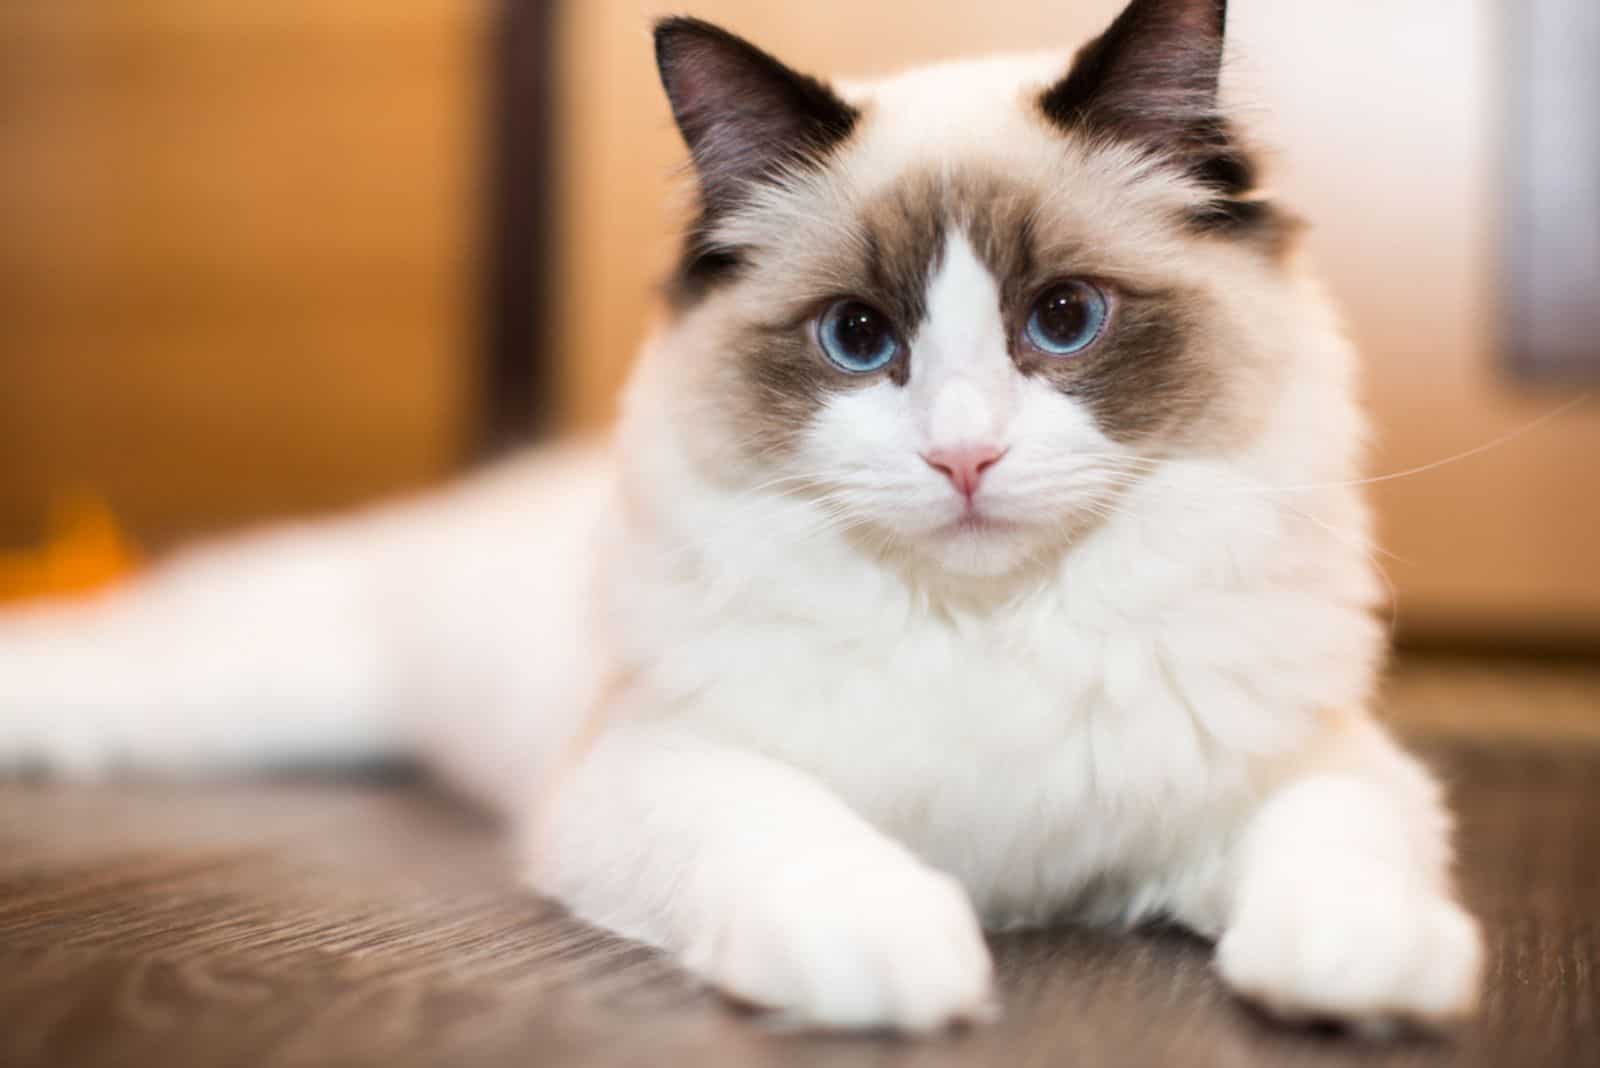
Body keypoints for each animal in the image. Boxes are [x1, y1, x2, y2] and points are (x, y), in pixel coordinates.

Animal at [0, 0, 1484, 1036]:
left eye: (1063, 320)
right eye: (858, 338)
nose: (963, 457)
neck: (989, 627)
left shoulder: (1308, 769)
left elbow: (1335, 855)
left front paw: (1355, 978)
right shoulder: (660, 768)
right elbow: (803, 841)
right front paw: (904, 967)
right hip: (260, 683)